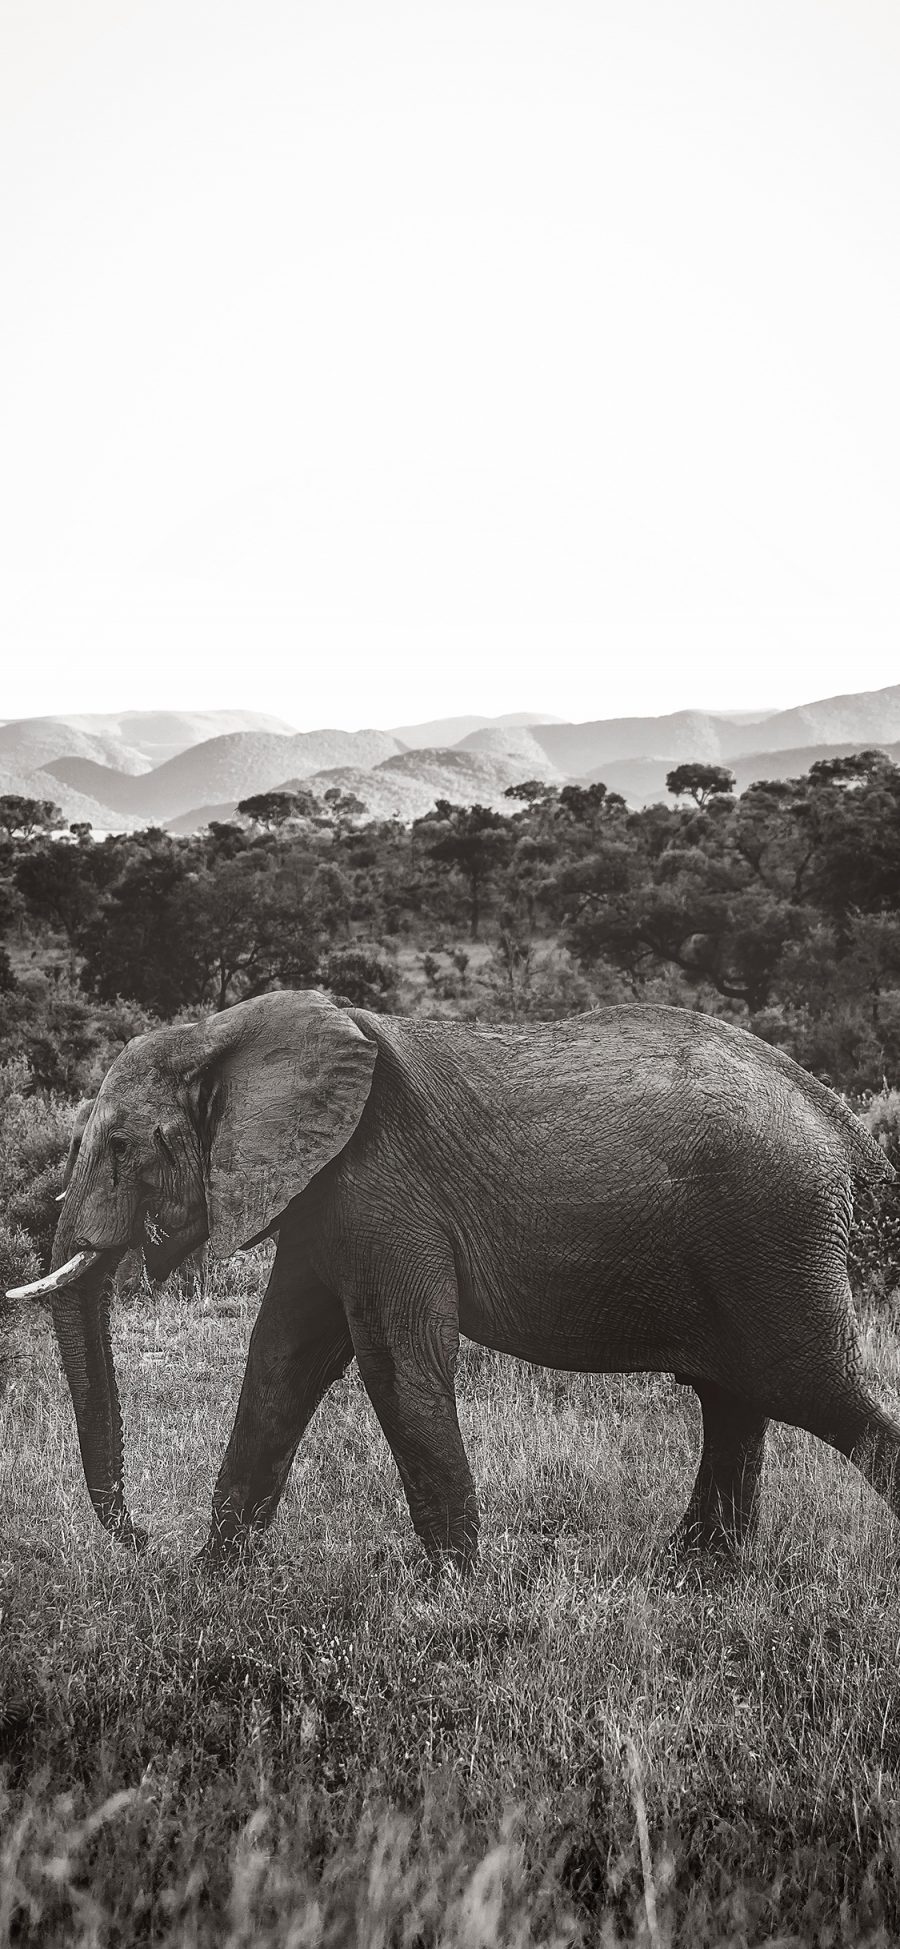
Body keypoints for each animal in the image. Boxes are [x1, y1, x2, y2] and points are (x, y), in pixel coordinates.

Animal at [7, 990, 900, 1566]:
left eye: (120, 1145)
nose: (141, 1540)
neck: (222, 1032)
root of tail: (831, 1113)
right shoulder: (322, 1198)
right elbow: (280, 1362)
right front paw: (212, 1581)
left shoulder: (378, 1185)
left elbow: (394, 1365)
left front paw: (451, 1588)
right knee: (734, 1399)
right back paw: (693, 1574)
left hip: (773, 1230)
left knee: (811, 1388)